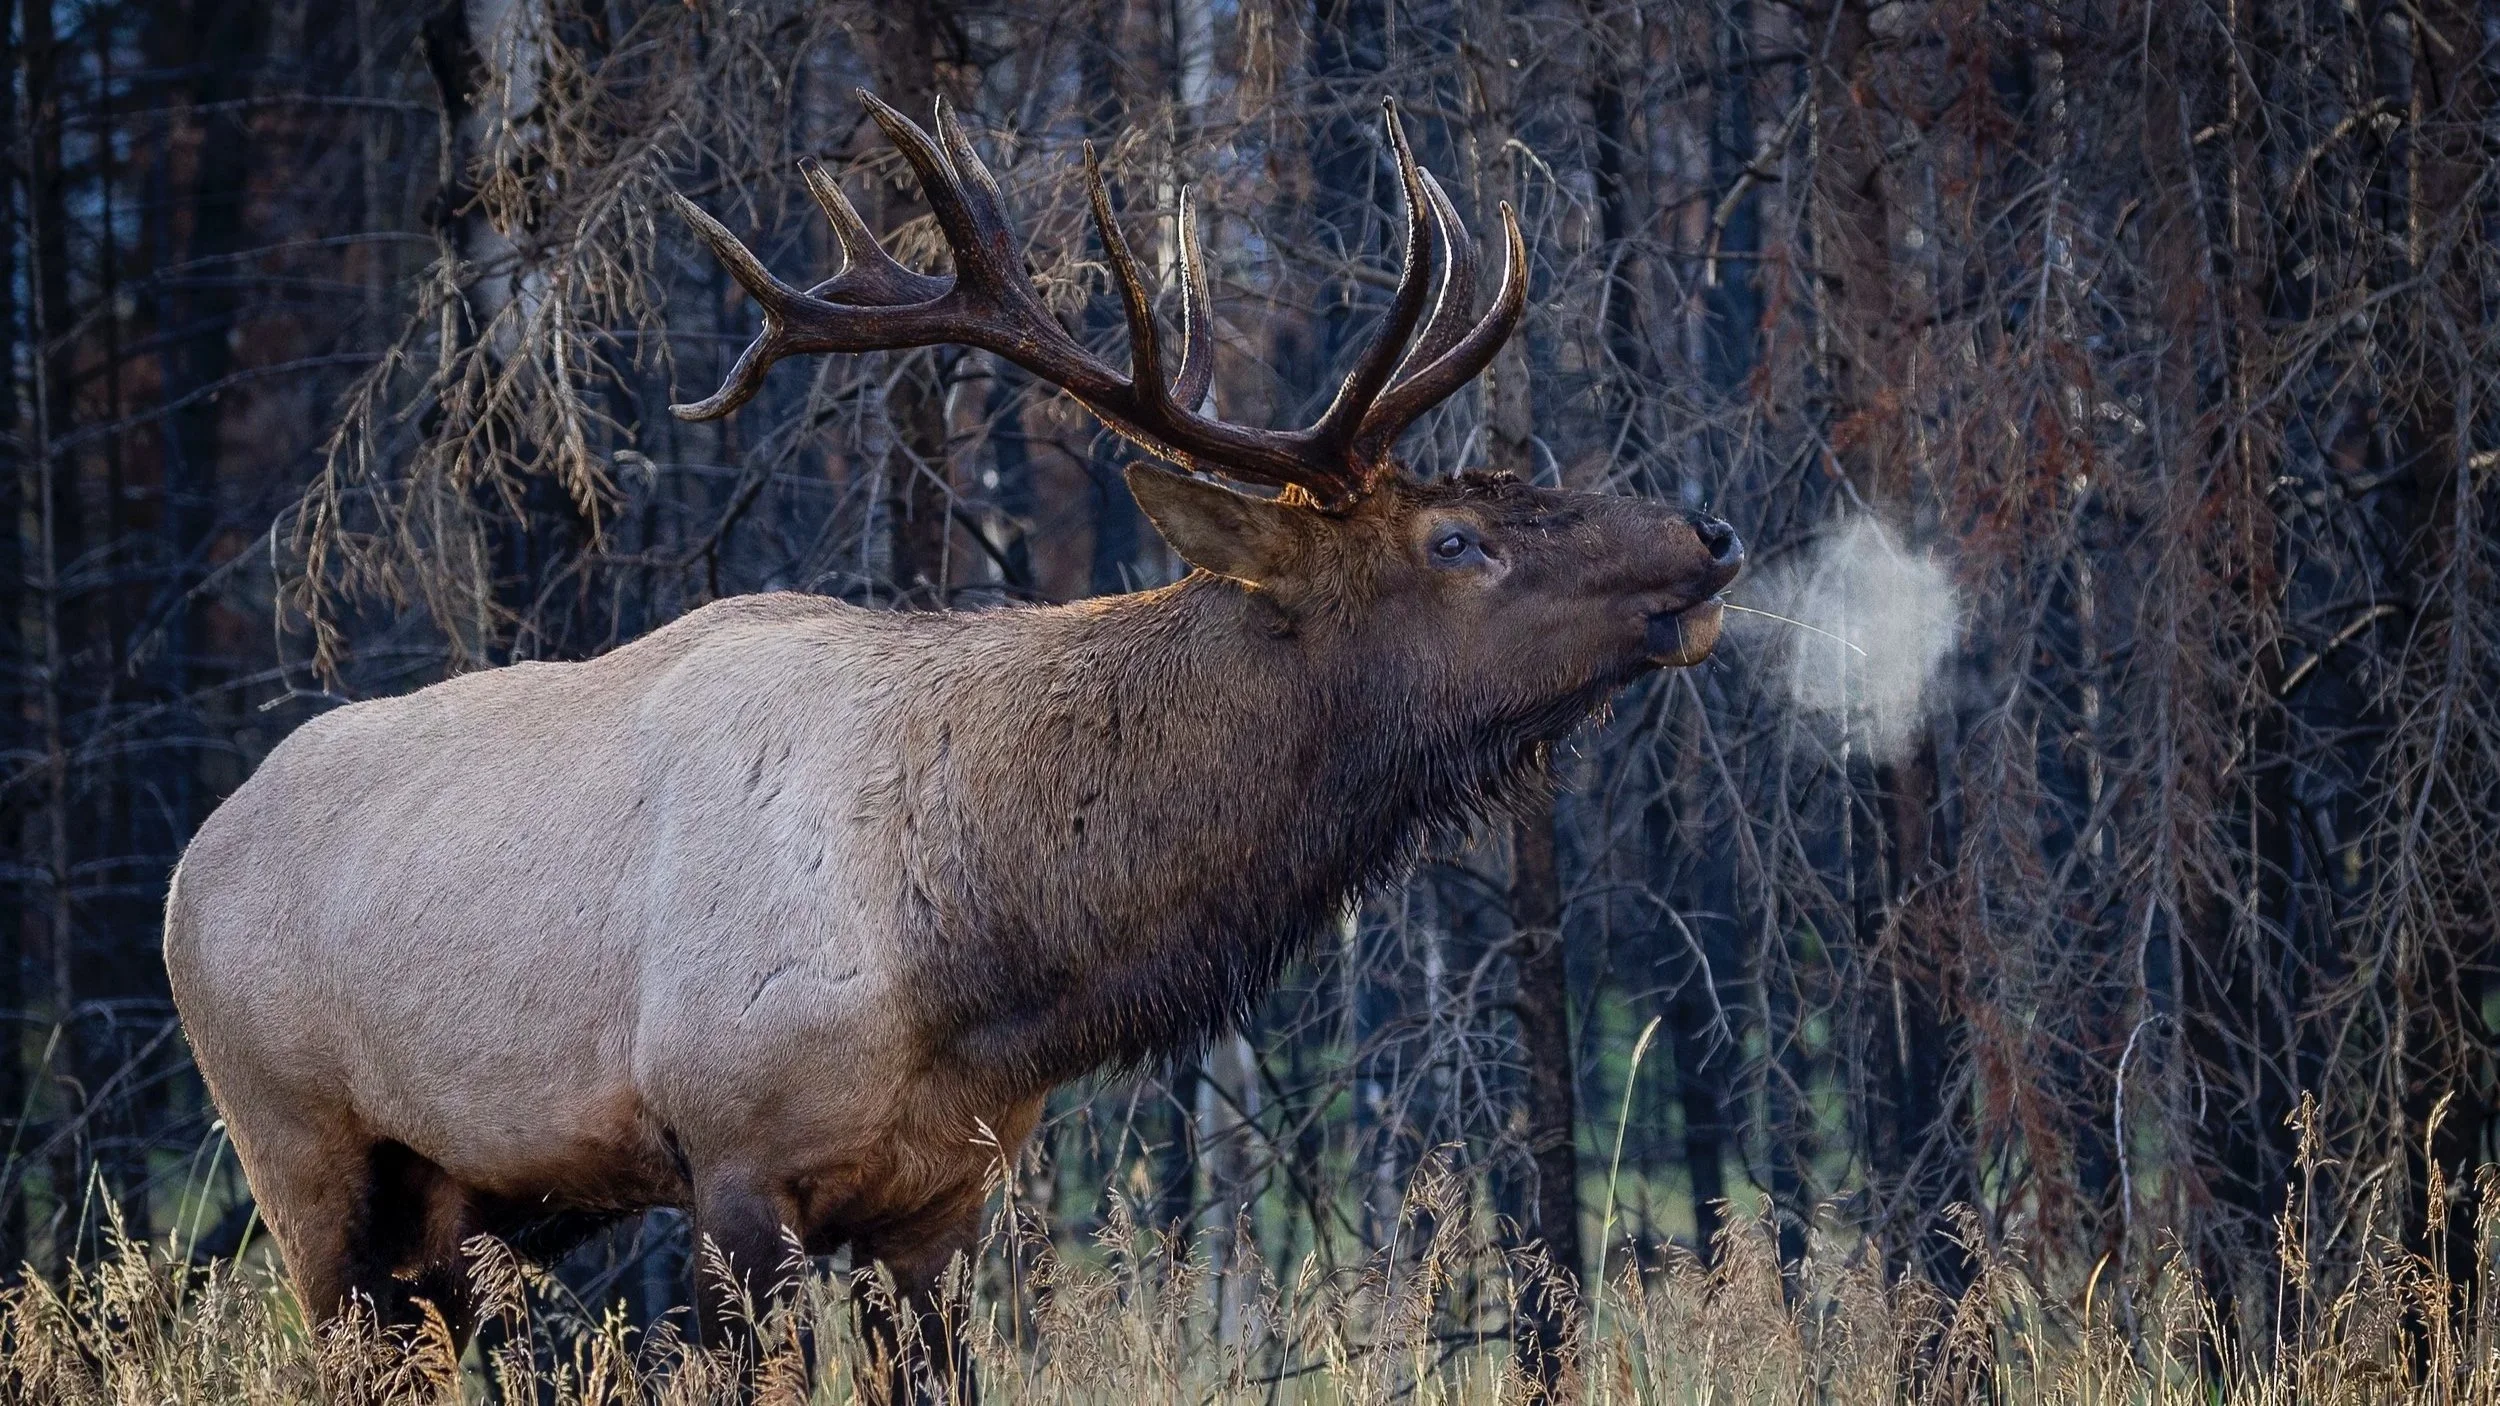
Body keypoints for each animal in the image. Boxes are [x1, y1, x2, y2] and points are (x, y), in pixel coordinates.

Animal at [162, 91, 1741, 1399]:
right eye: (1455, 537)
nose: (1707, 533)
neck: (985, 960)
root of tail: (188, 861)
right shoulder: (732, 1164)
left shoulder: (945, 1202)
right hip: (302, 1155)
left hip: (458, 1208)